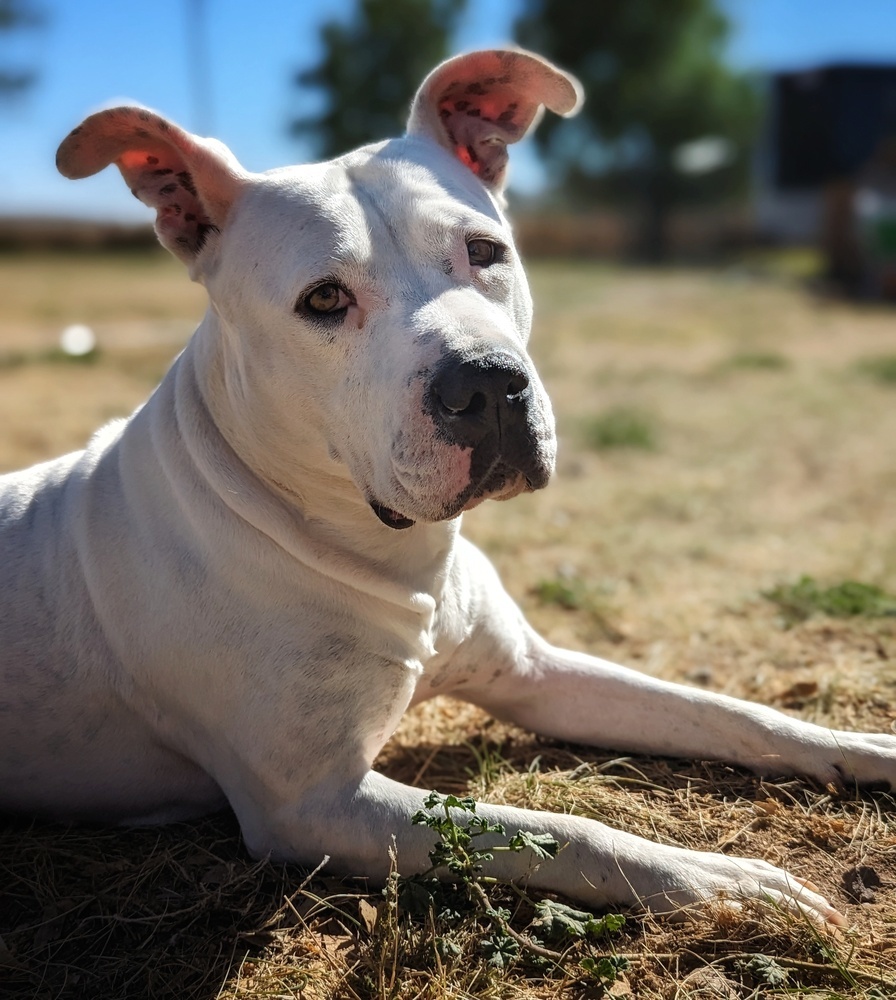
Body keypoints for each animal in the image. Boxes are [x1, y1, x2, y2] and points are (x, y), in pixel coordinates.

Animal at [3, 48, 892, 920]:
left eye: (485, 252)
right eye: (323, 299)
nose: (488, 386)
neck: (391, 553)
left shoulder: (536, 675)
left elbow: (730, 712)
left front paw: (864, 747)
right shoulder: (316, 804)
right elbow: (565, 833)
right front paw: (720, 880)